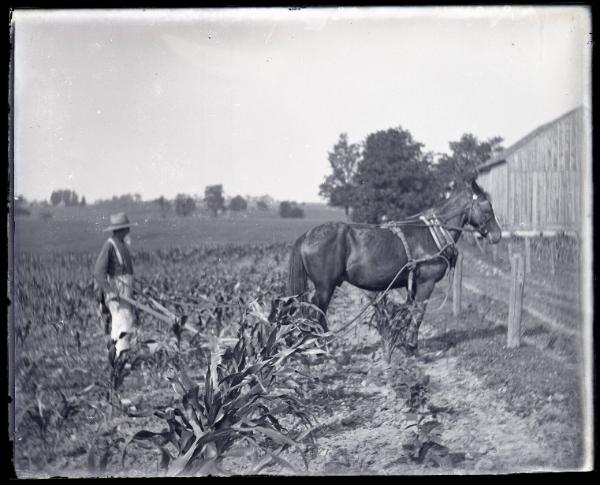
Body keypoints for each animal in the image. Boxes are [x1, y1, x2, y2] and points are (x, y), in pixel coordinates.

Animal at [286, 178, 502, 352]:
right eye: (487, 207)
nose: (497, 235)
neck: (431, 233)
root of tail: (307, 235)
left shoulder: (413, 284)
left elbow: (410, 313)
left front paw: (403, 343)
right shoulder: (426, 283)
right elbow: (419, 313)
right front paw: (412, 347)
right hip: (325, 287)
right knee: (316, 312)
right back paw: (322, 346)